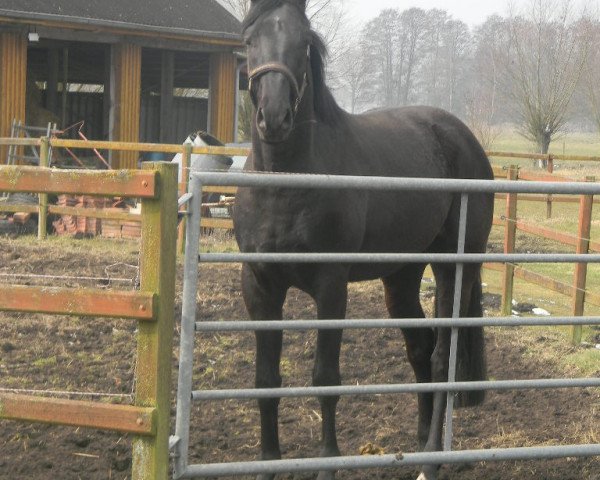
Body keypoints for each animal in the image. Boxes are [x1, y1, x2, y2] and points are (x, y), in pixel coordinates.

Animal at [233, 1, 492, 478]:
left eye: (303, 41)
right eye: (249, 40)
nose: (274, 118)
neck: (286, 181)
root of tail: (462, 137)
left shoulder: (331, 287)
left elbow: (325, 378)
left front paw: (327, 463)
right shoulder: (259, 285)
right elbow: (265, 381)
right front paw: (266, 464)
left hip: (453, 266)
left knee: (442, 355)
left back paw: (432, 458)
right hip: (402, 275)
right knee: (420, 348)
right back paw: (419, 442)